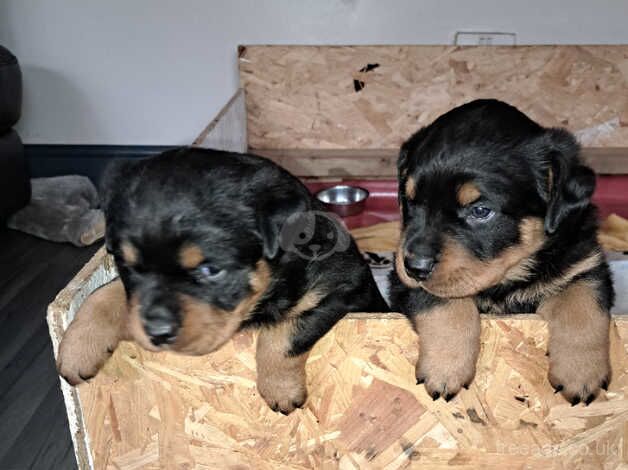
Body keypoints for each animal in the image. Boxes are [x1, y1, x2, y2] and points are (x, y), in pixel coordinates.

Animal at [56, 148, 388, 414]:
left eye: (211, 270)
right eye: (127, 265)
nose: (158, 333)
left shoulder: (343, 285)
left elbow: (286, 334)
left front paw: (280, 389)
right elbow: (105, 294)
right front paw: (77, 347)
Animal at [390, 99, 616, 404]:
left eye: (480, 211)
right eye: (410, 201)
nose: (415, 266)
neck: (508, 278)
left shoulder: (584, 264)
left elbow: (583, 308)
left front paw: (581, 373)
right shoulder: (400, 280)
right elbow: (445, 306)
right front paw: (445, 367)